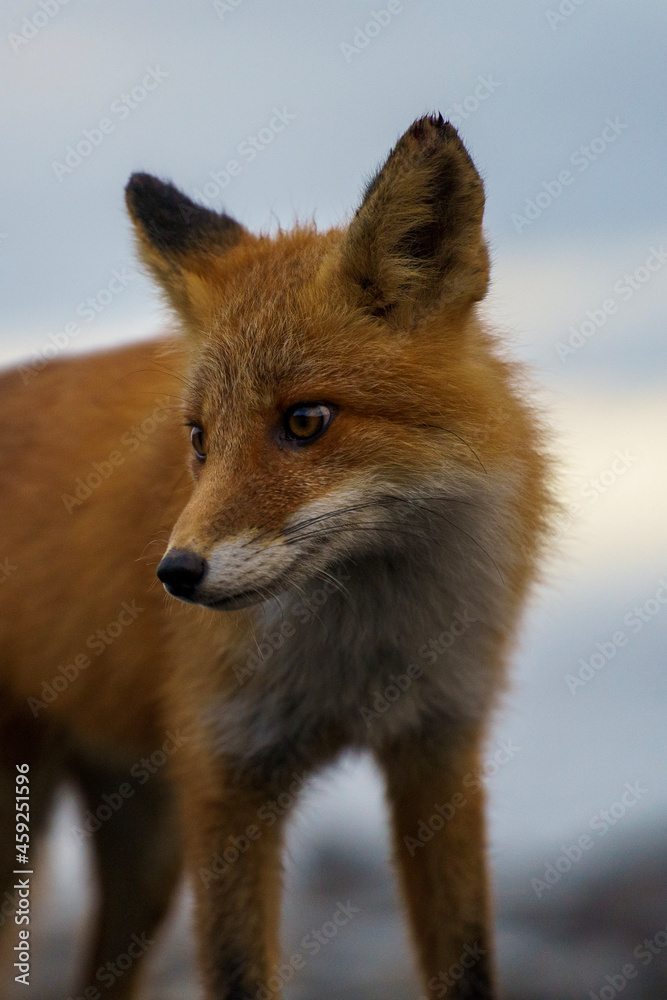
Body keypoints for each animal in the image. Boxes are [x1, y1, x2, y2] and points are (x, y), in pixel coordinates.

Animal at [0, 114, 551, 999]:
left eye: (304, 421)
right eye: (198, 437)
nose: (176, 575)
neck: (358, 661)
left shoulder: (438, 750)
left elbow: (467, 965)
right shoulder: (228, 771)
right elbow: (237, 974)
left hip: (143, 850)